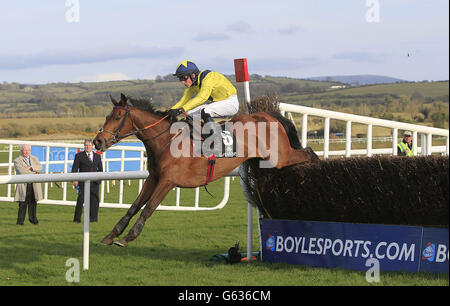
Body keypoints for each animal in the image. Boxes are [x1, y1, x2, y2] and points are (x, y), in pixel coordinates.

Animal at [94, 93, 320, 246]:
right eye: (106, 116)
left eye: (117, 118)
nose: (97, 142)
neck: (166, 140)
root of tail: (267, 115)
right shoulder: (153, 178)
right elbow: (133, 207)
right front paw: (111, 235)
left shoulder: (167, 181)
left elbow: (148, 208)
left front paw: (128, 237)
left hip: (280, 157)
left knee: (309, 152)